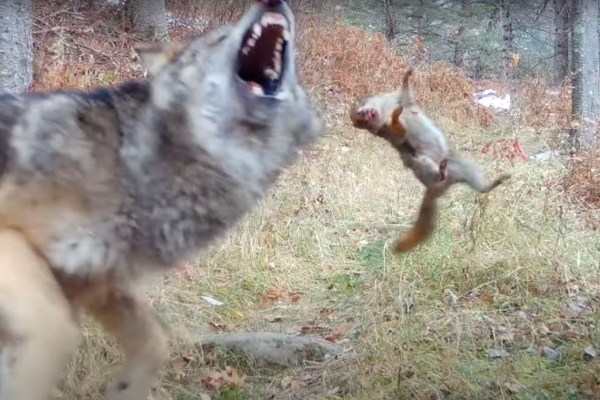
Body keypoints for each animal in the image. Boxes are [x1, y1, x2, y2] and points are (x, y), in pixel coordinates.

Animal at [0, 0, 324, 400]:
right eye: (220, 37)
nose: (272, 2)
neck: (133, 164)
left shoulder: (99, 281)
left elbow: (156, 341)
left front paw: (127, 388)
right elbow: (54, 328)